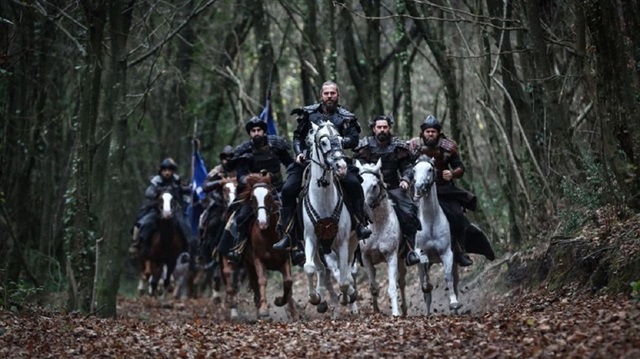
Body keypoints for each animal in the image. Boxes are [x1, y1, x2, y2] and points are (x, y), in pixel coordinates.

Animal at [222, 173, 298, 322]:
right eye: (252, 198)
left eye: (269, 196)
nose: (262, 223)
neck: (268, 235)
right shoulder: (258, 259)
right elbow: (262, 281)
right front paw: (263, 310)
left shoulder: (284, 259)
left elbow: (288, 282)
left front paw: (285, 305)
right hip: (248, 263)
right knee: (254, 284)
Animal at [302, 121, 358, 312]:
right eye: (324, 142)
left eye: (341, 141)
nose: (341, 167)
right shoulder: (311, 239)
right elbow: (309, 268)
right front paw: (314, 297)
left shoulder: (343, 243)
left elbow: (343, 281)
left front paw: (346, 297)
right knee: (320, 268)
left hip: (352, 243)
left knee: (347, 272)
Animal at [352, 160, 408, 318]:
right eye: (359, 184)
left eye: (374, 185)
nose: (363, 208)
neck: (377, 225)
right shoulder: (366, 258)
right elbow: (373, 287)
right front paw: (376, 311)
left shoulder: (391, 256)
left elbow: (393, 287)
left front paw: (395, 313)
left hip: (401, 258)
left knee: (401, 281)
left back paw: (404, 309)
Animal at [412, 156, 462, 314]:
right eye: (414, 170)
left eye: (430, 169)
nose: (419, 187)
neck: (431, 223)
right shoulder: (420, 252)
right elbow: (424, 267)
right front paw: (427, 286)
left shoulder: (447, 253)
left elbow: (448, 277)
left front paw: (453, 302)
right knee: (427, 295)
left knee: (455, 283)